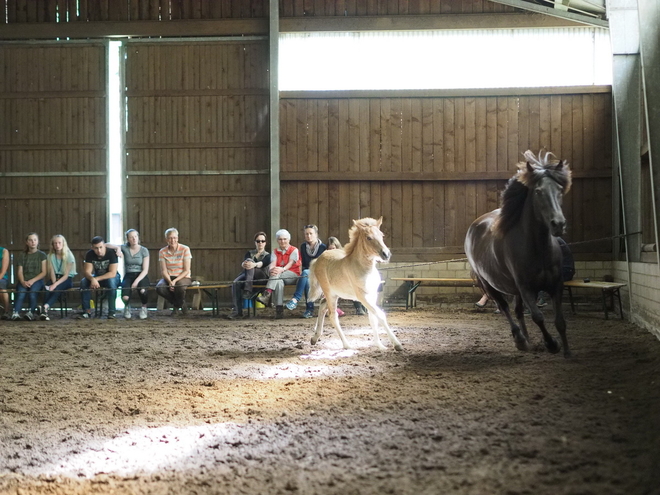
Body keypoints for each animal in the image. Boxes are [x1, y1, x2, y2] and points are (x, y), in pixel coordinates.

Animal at [464, 150, 572, 356]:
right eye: (538, 191)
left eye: (560, 190)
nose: (559, 224)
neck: (539, 249)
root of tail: (474, 227)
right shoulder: (526, 288)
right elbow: (538, 317)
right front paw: (552, 344)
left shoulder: (556, 285)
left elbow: (560, 321)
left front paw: (567, 352)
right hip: (490, 285)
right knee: (504, 307)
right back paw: (520, 339)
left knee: (518, 310)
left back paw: (527, 339)